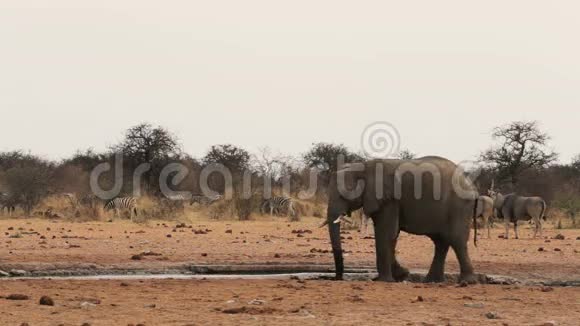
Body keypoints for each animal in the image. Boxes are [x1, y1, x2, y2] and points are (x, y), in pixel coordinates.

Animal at [320, 157, 478, 282]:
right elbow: (391, 235)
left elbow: (386, 233)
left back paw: (466, 282)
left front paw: (385, 280)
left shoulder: (389, 199)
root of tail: (471, 186)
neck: (363, 166)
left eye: (344, 194)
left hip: (459, 206)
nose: (337, 278)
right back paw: (432, 281)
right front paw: (401, 275)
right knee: (441, 241)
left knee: (456, 239)